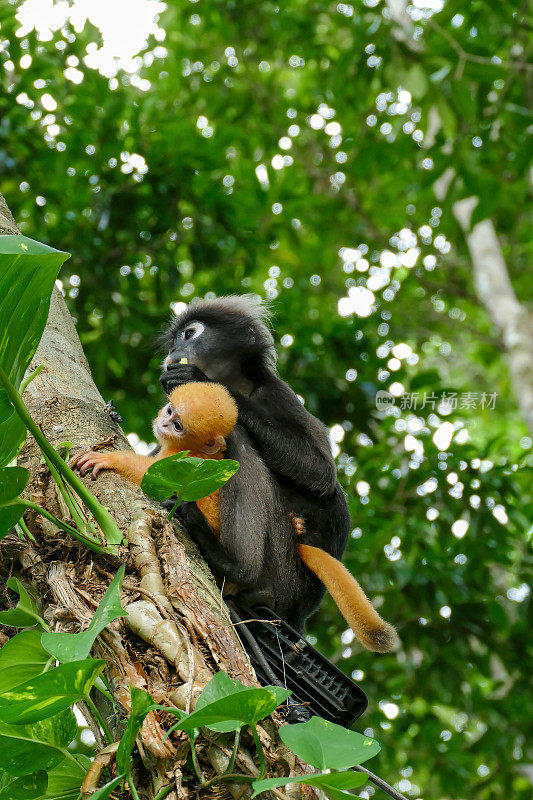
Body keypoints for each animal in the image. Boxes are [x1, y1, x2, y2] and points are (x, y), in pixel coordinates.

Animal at [71, 382, 237, 532]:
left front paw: (112, 460)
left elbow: (152, 476)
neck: (190, 448)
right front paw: (113, 414)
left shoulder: (183, 459)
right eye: (169, 411)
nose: (163, 425)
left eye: (177, 426)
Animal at [158, 294, 394, 648]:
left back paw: (233, 564)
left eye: (189, 334)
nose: (173, 351)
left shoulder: (276, 393)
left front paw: (202, 379)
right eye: (174, 340)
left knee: (240, 440)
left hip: (282, 571)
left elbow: (322, 473)